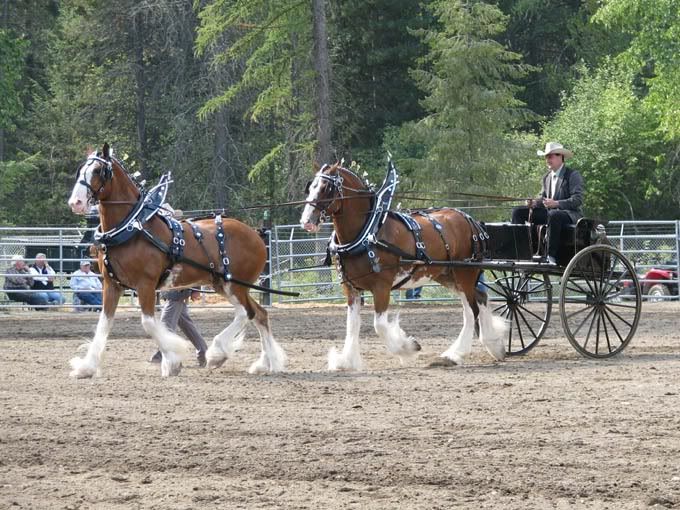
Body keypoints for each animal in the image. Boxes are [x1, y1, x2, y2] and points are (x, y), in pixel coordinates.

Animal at [66, 142, 284, 374]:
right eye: (80, 170)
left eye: (99, 170)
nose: (75, 202)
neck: (132, 228)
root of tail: (256, 234)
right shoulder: (111, 284)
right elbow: (104, 323)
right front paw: (87, 366)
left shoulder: (146, 284)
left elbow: (148, 323)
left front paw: (172, 359)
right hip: (225, 284)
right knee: (259, 314)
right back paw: (267, 363)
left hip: (234, 285)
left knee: (245, 313)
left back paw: (217, 353)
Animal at [300, 161, 508, 368]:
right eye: (310, 187)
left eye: (326, 188)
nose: (306, 221)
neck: (368, 232)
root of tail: (470, 219)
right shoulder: (351, 288)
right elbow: (352, 324)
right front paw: (347, 361)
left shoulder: (381, 286)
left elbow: (379, 325)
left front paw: (408, 348)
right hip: (447, 275)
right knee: (479, 298)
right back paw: (492, 345)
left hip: (464, 273)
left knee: (472, 310)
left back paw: (454, 354)